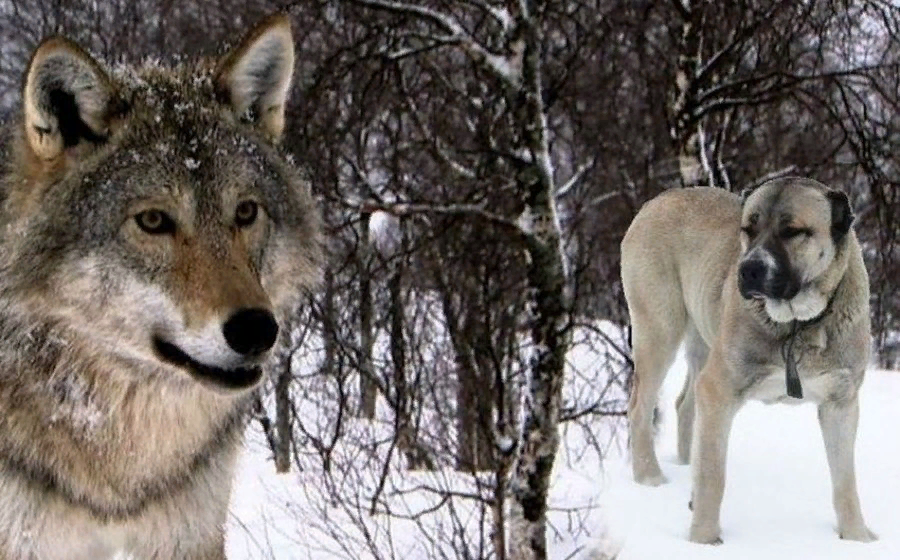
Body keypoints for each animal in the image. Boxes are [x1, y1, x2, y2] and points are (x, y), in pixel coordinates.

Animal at [624, 178, 876, 544]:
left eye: (792, 231)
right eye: (748, 229)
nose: (749, 269)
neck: (797, 324)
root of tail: (659, 199)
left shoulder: (840, 403)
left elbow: (845, 481)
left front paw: (857, 537)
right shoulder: (720, 390)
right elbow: (714, 474)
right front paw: (704, 540)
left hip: (703, 338)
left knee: (686, 404)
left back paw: (684, 467)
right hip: (659, 329)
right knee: (640, 408)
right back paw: (650, 477)